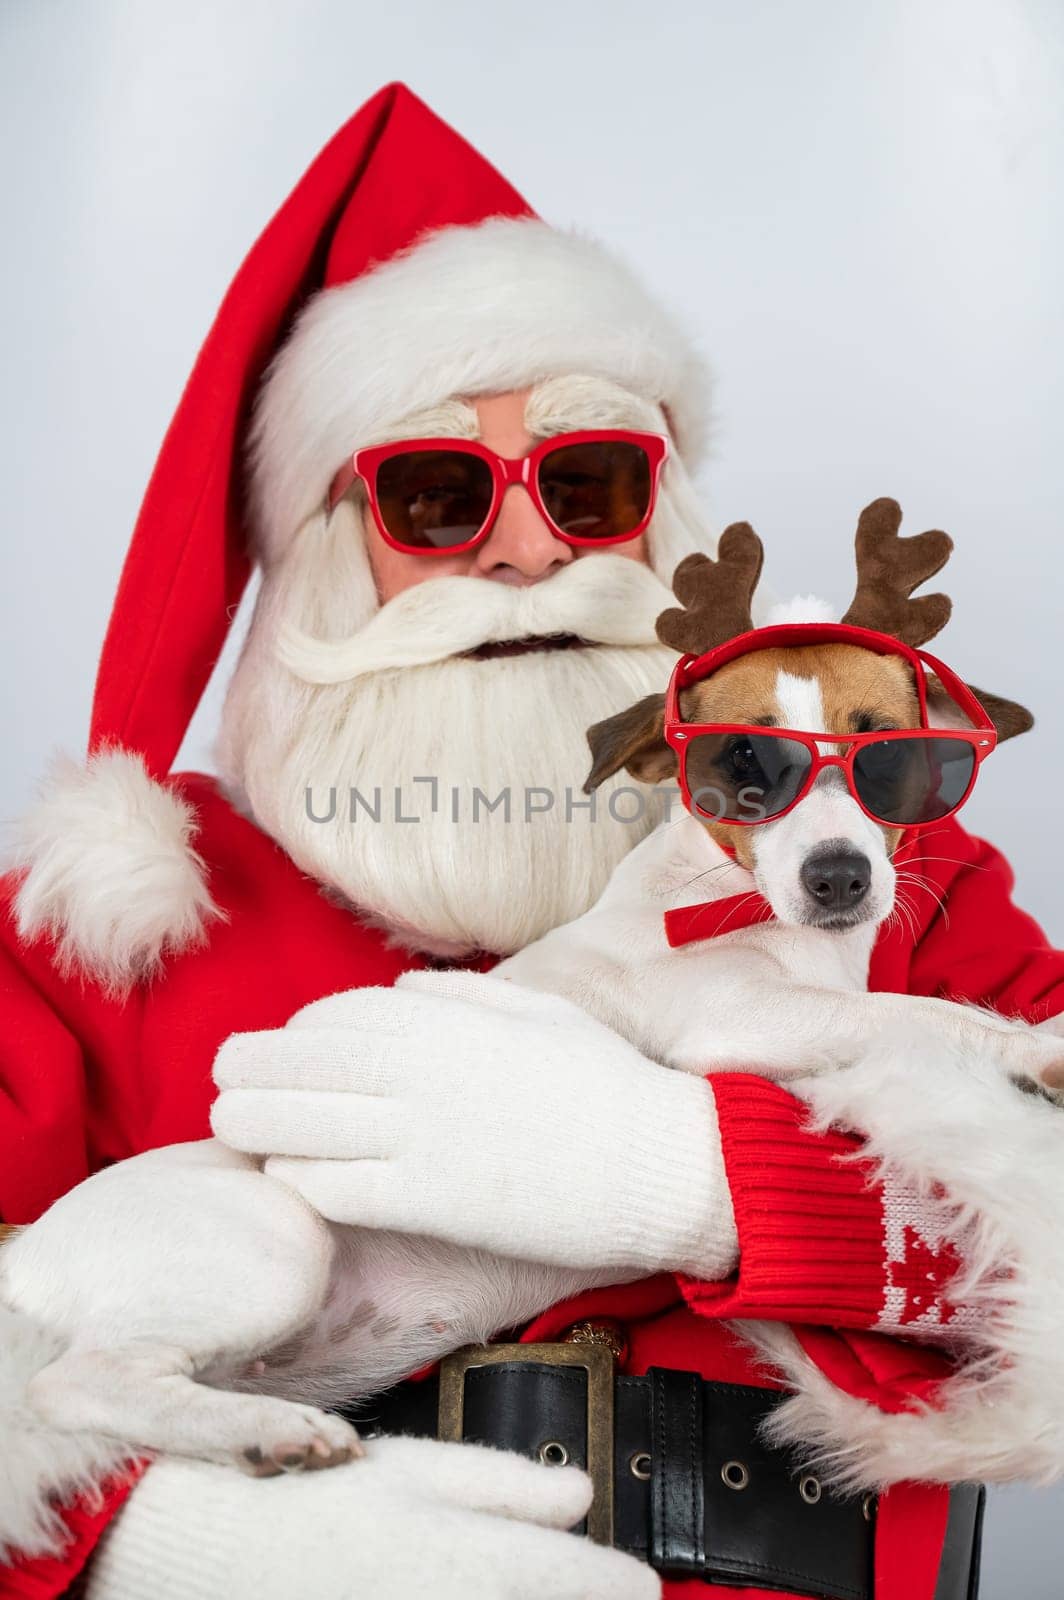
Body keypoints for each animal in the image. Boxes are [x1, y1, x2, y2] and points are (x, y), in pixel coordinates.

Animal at [4, 496, 1056, 1484]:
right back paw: (272, 1436)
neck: (747, 915)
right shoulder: (735, 1017)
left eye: (888, 757)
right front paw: (1035, 1050)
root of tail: (25, 1252)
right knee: (74, 1386)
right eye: (743, 763)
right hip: (271, 1243)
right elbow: (913, 1015)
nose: (838, 878)